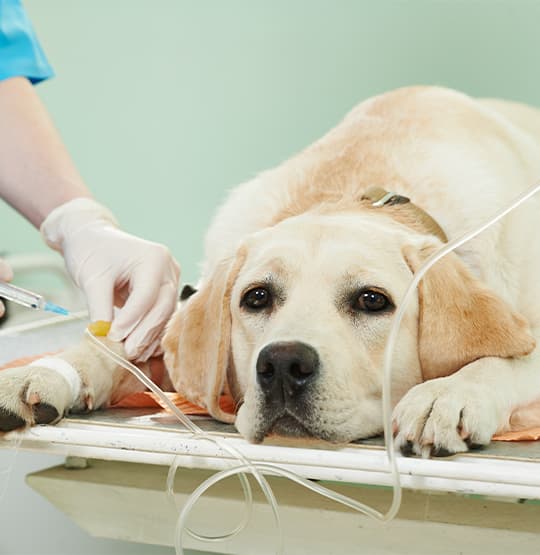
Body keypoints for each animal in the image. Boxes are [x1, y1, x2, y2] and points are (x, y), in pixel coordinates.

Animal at [1, 86, 540, 456]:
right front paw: (41, 372)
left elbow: (503, 360)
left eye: (372, 300)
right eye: (256, 297)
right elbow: (116, 348)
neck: (355, 190)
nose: (282, 364)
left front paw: (448, 393)